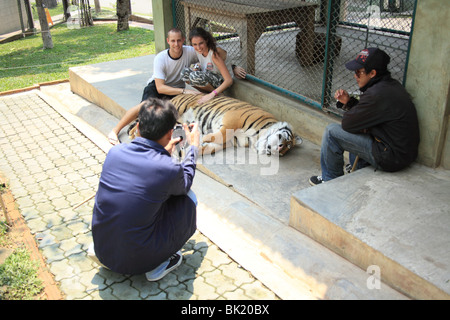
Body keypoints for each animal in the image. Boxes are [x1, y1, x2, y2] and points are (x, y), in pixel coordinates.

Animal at [169, 93, 302, 156]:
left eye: (286, 150)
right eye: (287, 141)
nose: (278, 150)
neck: (255, 138)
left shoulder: (230, 142)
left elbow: (210, 147)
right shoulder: (233, 118)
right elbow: (221, 134)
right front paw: (203, 137)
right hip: (179, 107)